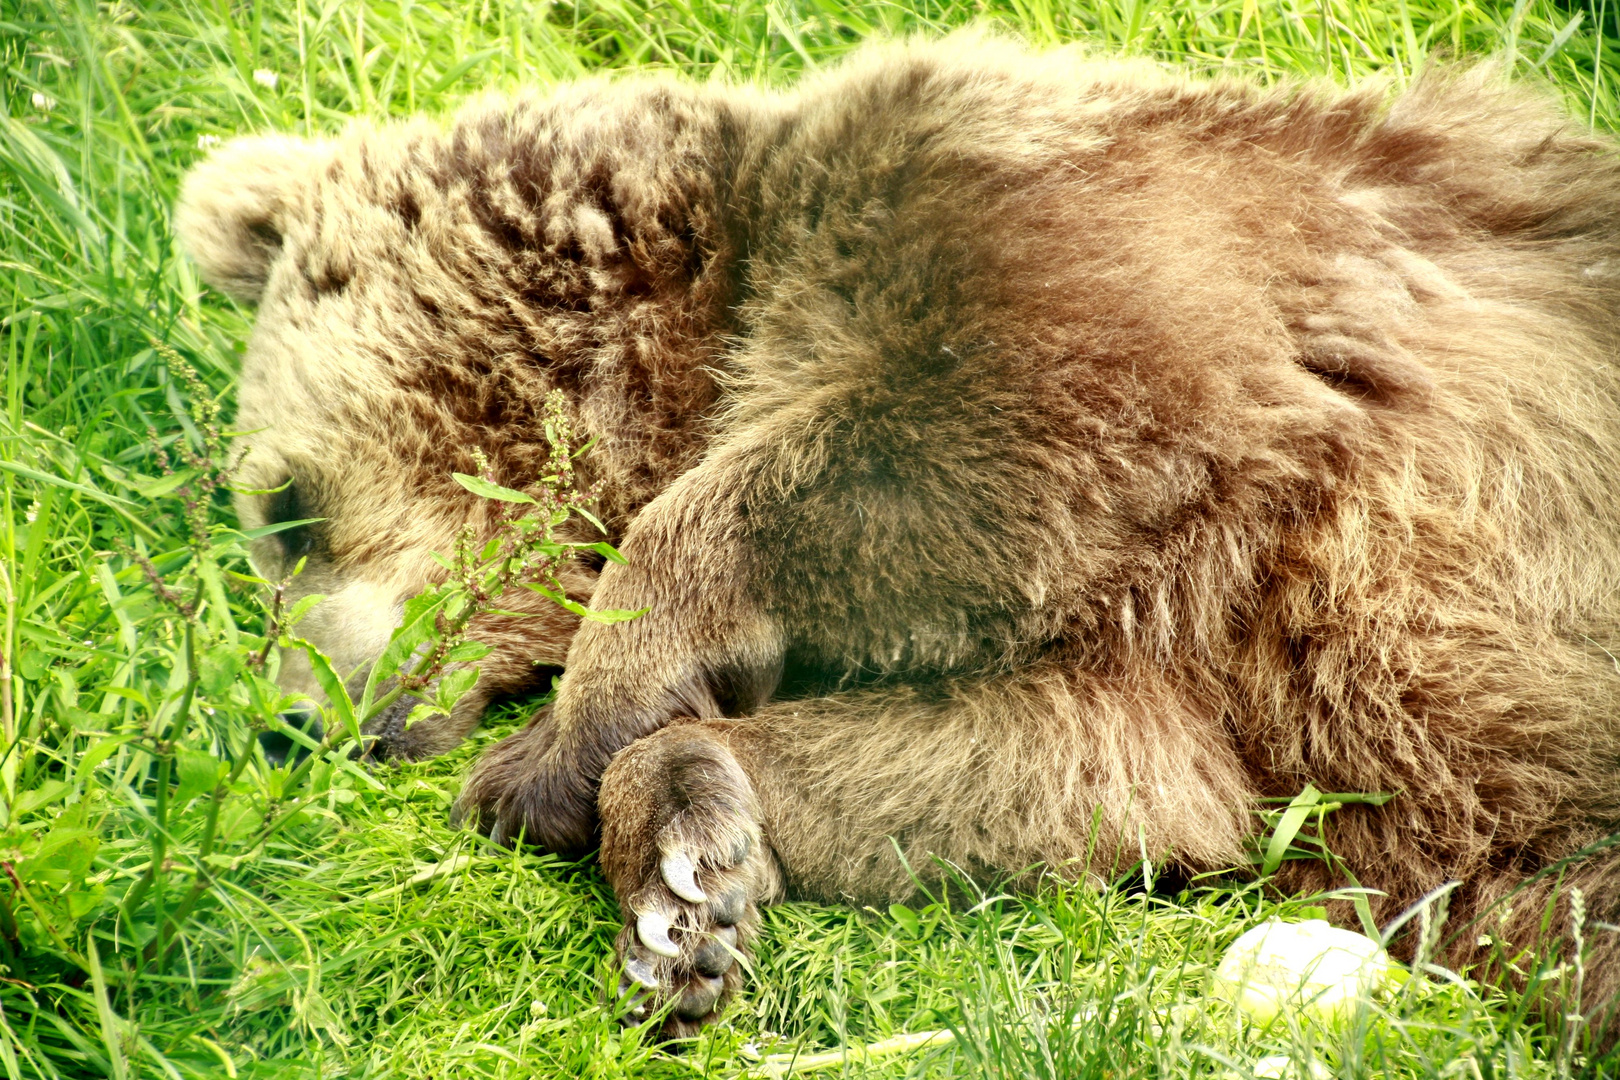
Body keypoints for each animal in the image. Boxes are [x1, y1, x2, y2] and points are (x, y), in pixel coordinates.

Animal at [174, 33, 1620, 1042]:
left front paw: (559, 744)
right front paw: (687, 889)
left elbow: (1024, 392)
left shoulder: (1114, 250)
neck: (704, 332)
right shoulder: (1191, 666)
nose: (290, 718)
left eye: (281, 509)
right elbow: (1103, 770)